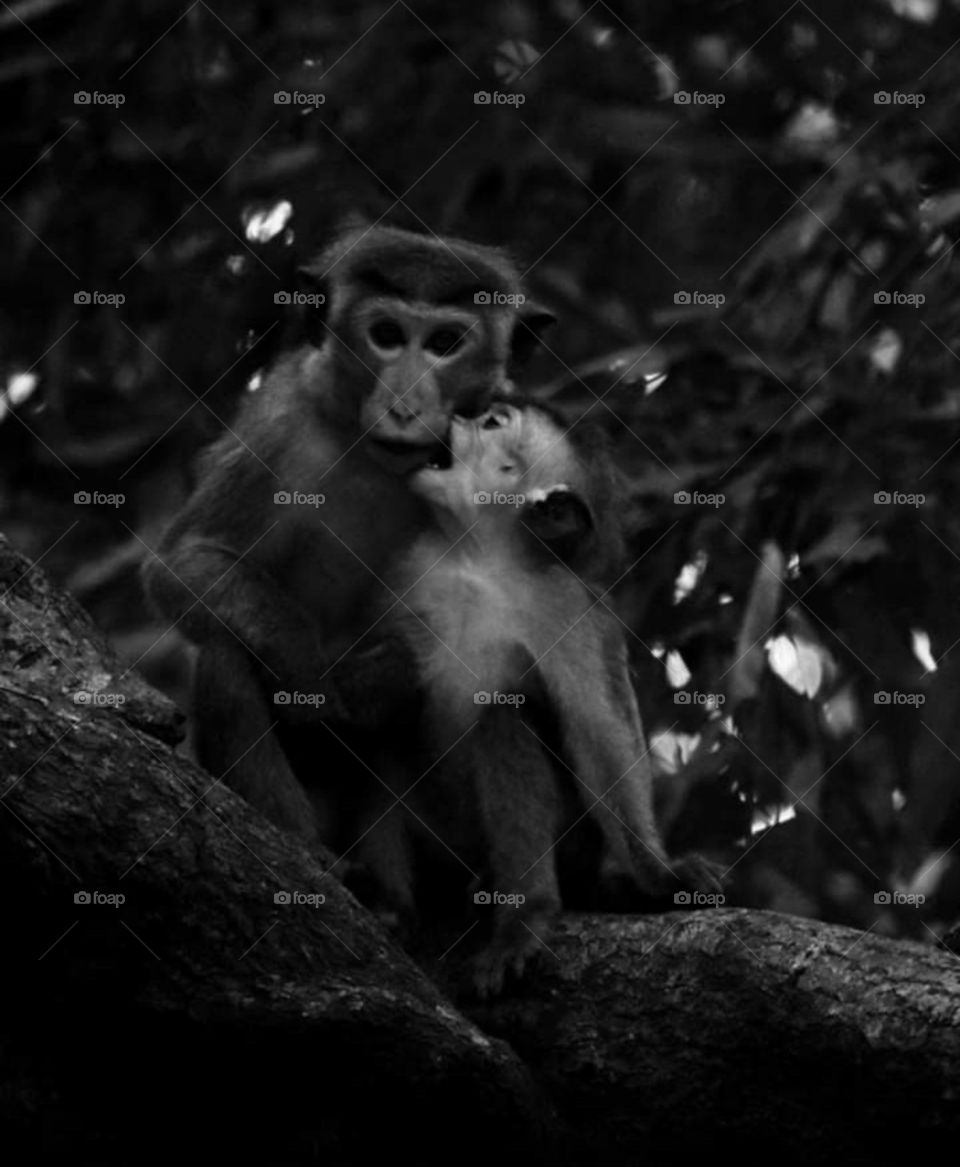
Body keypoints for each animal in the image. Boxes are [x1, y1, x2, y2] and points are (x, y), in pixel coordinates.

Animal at [142, 225, 555, 849]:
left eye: (445, 342)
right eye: (386, 335)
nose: (404, 406)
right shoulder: (280, 423)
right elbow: (186, 562)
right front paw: (315, 675)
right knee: (225, 651)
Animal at [342, 401, 718, 996]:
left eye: (493, 424)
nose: (457, 415)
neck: (481, 562)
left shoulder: (567, 603)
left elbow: (598, 736)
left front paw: (657, 878)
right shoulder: (405, 569)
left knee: (503, 716)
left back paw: (525, 918)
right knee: (386, 736)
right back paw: (394, 907)